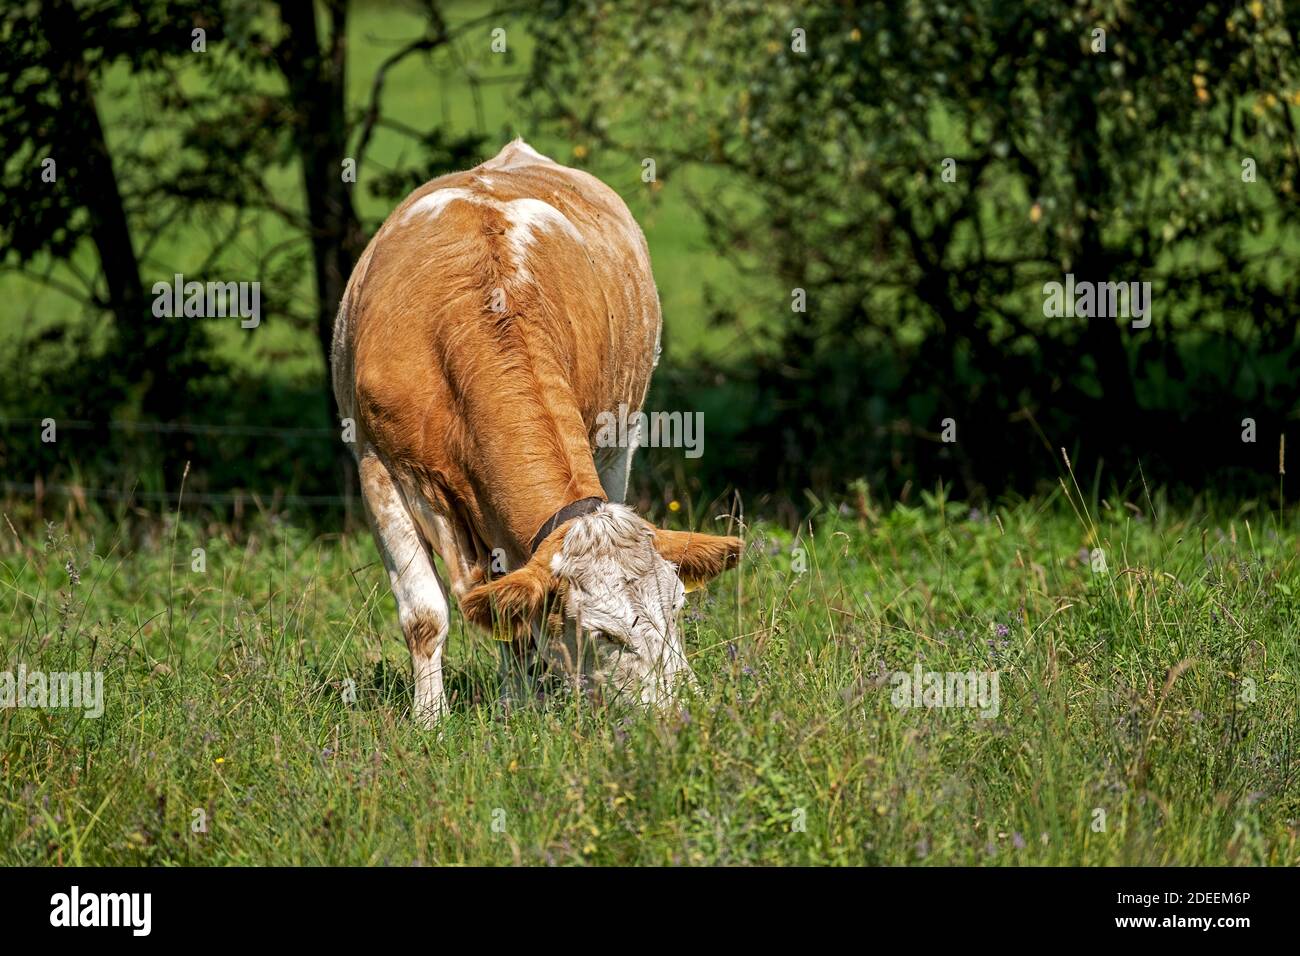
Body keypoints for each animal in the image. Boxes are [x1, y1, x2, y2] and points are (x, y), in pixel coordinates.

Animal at [331, 139, 743, 725]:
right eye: (603, 633)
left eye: (678, 607)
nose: (680, 710)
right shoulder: (379, 472)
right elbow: (427, 616)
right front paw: (430, 722)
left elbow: (517, 618)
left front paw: (521, 706)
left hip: (620, 442)